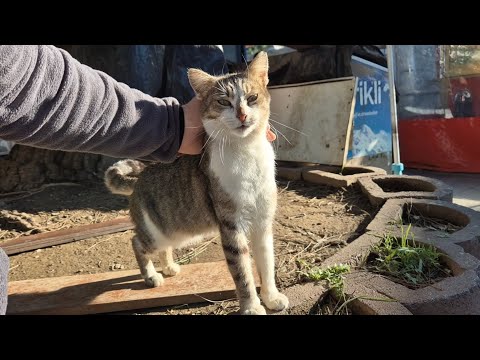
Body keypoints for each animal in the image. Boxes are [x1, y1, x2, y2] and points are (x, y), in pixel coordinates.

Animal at [105, 51, 288, 316]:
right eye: (223, 102)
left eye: (252, 98)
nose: (242, 115)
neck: (246, 152)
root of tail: (138, 180)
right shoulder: (231, 226)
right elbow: (243, 272)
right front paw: (252, 306)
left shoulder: (262, 223)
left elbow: (266, 262)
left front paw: (272, 297)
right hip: (156, 232)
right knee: (137, 242)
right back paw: (151, 276)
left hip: (175, 231)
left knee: (163, 247)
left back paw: (169, 267)